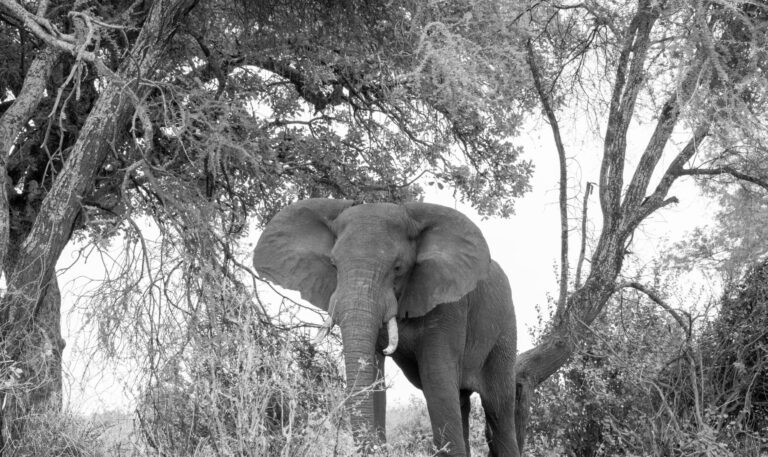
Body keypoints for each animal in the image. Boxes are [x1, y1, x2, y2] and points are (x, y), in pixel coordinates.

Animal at [253, 199, 520, 457]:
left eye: (398, 268)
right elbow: (373, 377)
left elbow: (438, 383)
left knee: (498, 408)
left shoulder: (449, 305)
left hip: (504, 333)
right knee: (463, 402)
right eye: (333, 265)